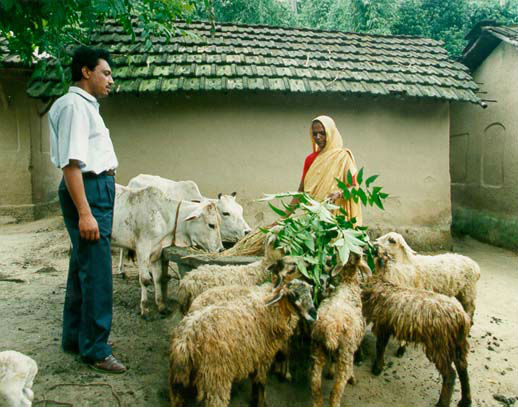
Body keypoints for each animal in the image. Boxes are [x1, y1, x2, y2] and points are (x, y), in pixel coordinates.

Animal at [114, 183, 223, 318]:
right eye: (211, 225)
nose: (221, 249)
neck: (164, 215)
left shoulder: (156, 251)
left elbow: (158, 278)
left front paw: (161, 306)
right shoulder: (142, 249)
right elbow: (145, 280)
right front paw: (145, 309)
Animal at [171, 272, 316, 406]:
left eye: (310, 292)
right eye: (293, 295)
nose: (314, 315)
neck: (269, 309)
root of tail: (186, 340)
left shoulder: (255, 356)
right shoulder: (263, 357)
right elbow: (261, 381)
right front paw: (261, 402)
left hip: (179, 377)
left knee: (177, 398)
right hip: (215, 376)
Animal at [310, 255, 368, 404]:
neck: (348, 283)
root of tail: (329, 329)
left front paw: (330, 372)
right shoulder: (353, 345)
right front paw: (352, 377)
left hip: (317, 348)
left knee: (315, 384)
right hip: (345, 352)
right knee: (336, 390)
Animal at [364, 280, 474, 408]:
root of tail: (462, 318)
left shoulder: (383, 324)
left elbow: (380, 346)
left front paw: (377, 368)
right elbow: (381, 346)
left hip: (440, 345)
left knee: (450, 374)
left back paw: (442, 403)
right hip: (456, 344)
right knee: (462, 369)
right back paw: (465, 401)